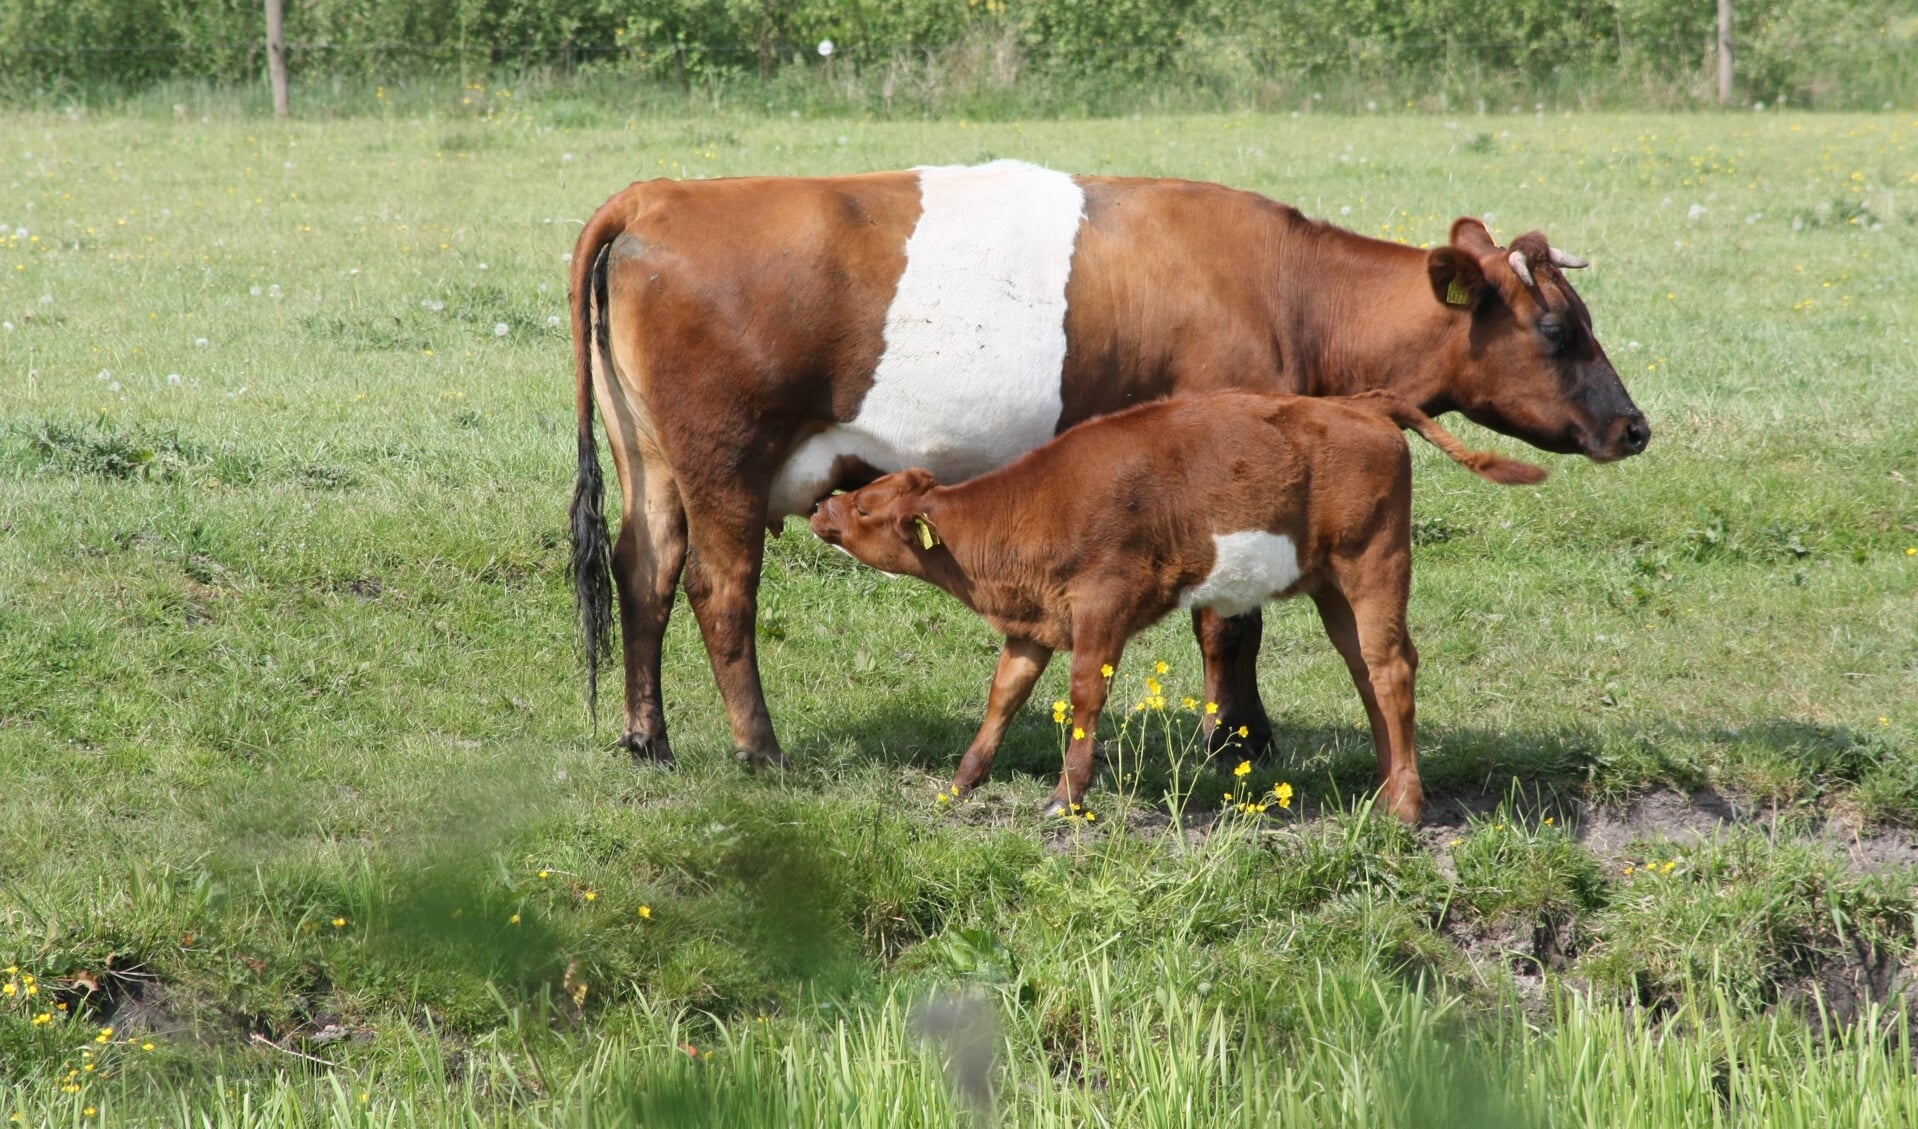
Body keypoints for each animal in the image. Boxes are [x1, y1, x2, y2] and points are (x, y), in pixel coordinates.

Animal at [567, 156, 1649, 766]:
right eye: (1557, 330)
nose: (1634, 428)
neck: (1293, 294)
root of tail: (656, 197)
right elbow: (1230, 625)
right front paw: (1237, 742)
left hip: (653, 463)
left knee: (643, 572)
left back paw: (646, 737)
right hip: (725, 464)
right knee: (720, 591)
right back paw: (758, 748)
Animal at [805, 391, 1542, 824]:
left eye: (865, 508)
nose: (819, 508)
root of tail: (1358, 404)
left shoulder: (1102, 607)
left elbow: (1084, 696)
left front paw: (1066, 798)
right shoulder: (1034, 622)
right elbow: (1003, 696)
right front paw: (960, 785)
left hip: (1375, 562)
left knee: (1392, 669)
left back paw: (1408, 806)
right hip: (1332, 584)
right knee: (1366, 671)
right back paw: (1388, 787)